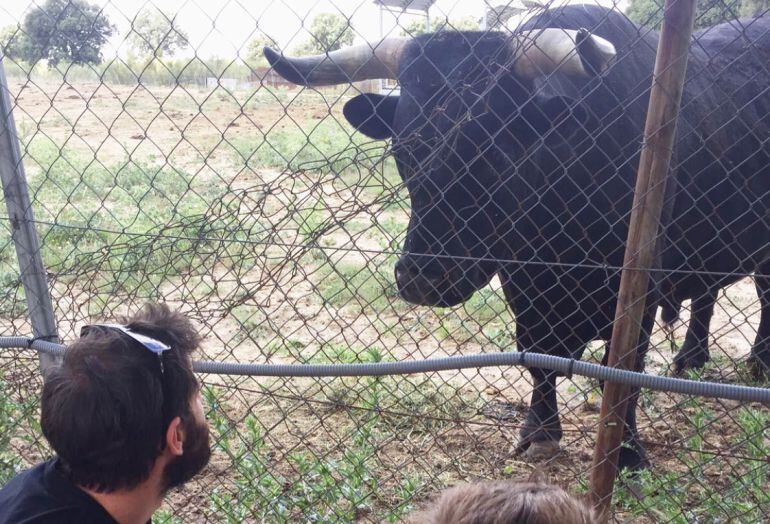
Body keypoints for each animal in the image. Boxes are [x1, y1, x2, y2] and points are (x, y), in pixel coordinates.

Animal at [266, 5, 768, 470]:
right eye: (402, 148)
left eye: (491, 147)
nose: (423, 278)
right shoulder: (520, 281)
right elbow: (536, 355)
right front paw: (539, 432)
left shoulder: (639, 288)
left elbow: (623, 370)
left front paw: (626, 451)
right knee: (709, 294)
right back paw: (693, 357)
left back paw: (758, 361)